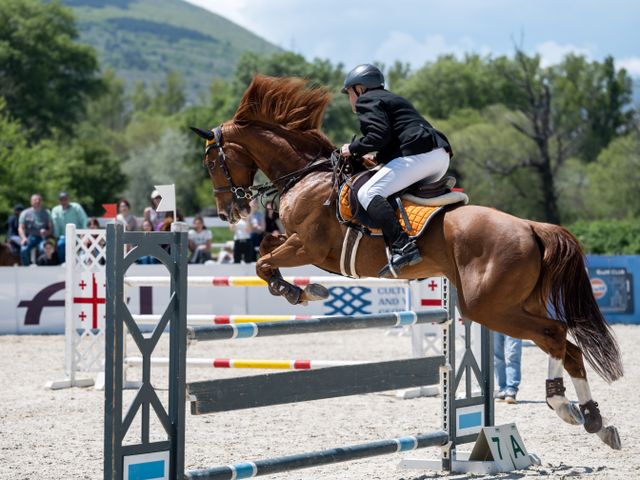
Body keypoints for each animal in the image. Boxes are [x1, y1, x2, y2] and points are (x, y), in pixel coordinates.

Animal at [191, 75, 623, 450]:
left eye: (211, 163)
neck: (307, 176)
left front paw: (299, 292)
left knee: (554, 335)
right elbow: (265, 247)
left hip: (487, 306)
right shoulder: (298, 244)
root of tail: (531, 226)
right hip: (516, 302)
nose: (229, 211)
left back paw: (565, 406)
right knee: (565, 345)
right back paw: (591, 418)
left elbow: (263, 263)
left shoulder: (308, 247)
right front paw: (303, 289)